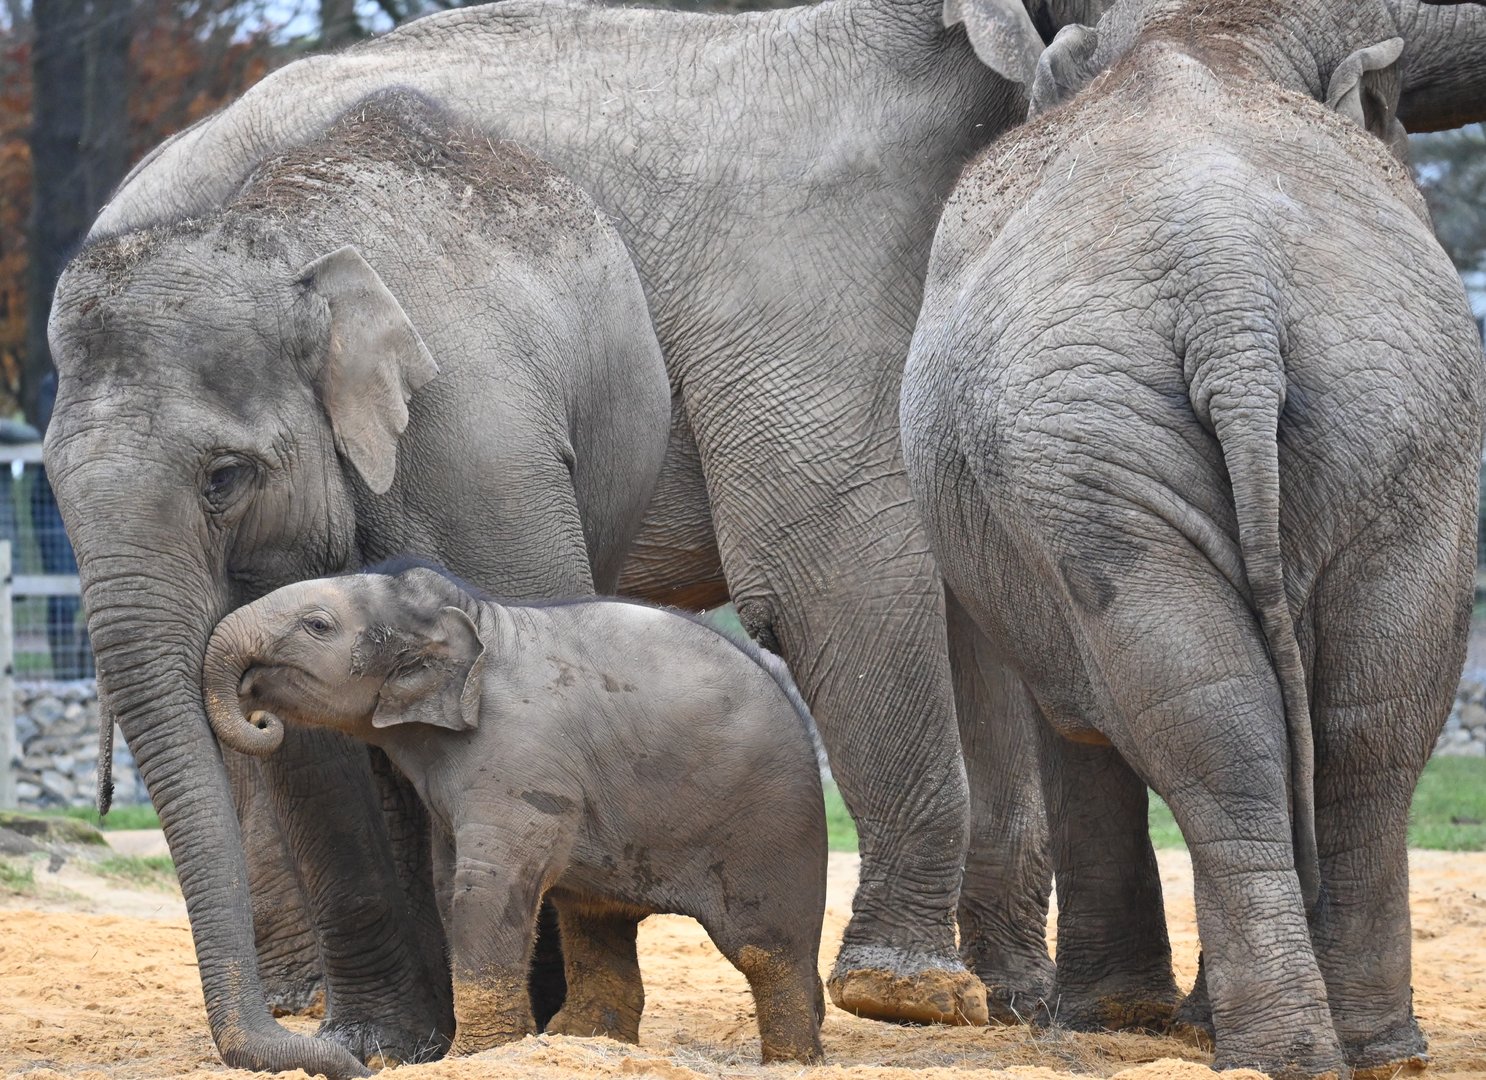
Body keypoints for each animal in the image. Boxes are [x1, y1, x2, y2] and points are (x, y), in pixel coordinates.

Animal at [46, 91, 671, 1078]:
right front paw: (373, 1046)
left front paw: (540, 1035)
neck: (284, 250)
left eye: (224, 478)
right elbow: (309, 743)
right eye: (52, 488)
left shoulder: (477, 457)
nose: (315, 1051)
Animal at [201, 560, 828, 1064]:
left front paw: (473, 1058)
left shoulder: (521, 759)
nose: (259, 716)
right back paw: (583, 1042)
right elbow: (449, 881)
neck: (475, 617)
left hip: (775, 821)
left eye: (317, 626)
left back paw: (792, 1062)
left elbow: (487, 885)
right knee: (594, 922)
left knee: (765, 949)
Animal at [900, 0, 1485, 1076]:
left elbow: (1073, 721)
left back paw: (1276, 1048)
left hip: (1125, 442)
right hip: (1376, 418)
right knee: (1355, 722)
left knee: (1230, 725)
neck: (1209, 37)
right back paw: (1359, 1046)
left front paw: (1110, 1021)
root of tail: (1230, 289)